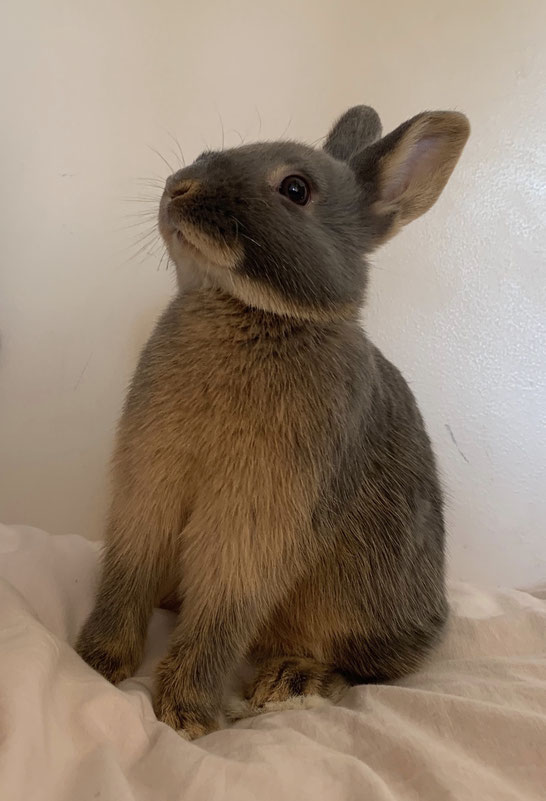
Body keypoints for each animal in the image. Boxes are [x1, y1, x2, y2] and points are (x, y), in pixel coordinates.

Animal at [76, 105, 470, 739]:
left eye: (295, 189)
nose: (178, 187)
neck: (249, 311)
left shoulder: (259, 517)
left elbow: (223, 611)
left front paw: (186, 713)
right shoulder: (147, 484)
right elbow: (129, 569)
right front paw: (97, 661)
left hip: (365, 611)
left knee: (367, 671)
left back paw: (293, 681)